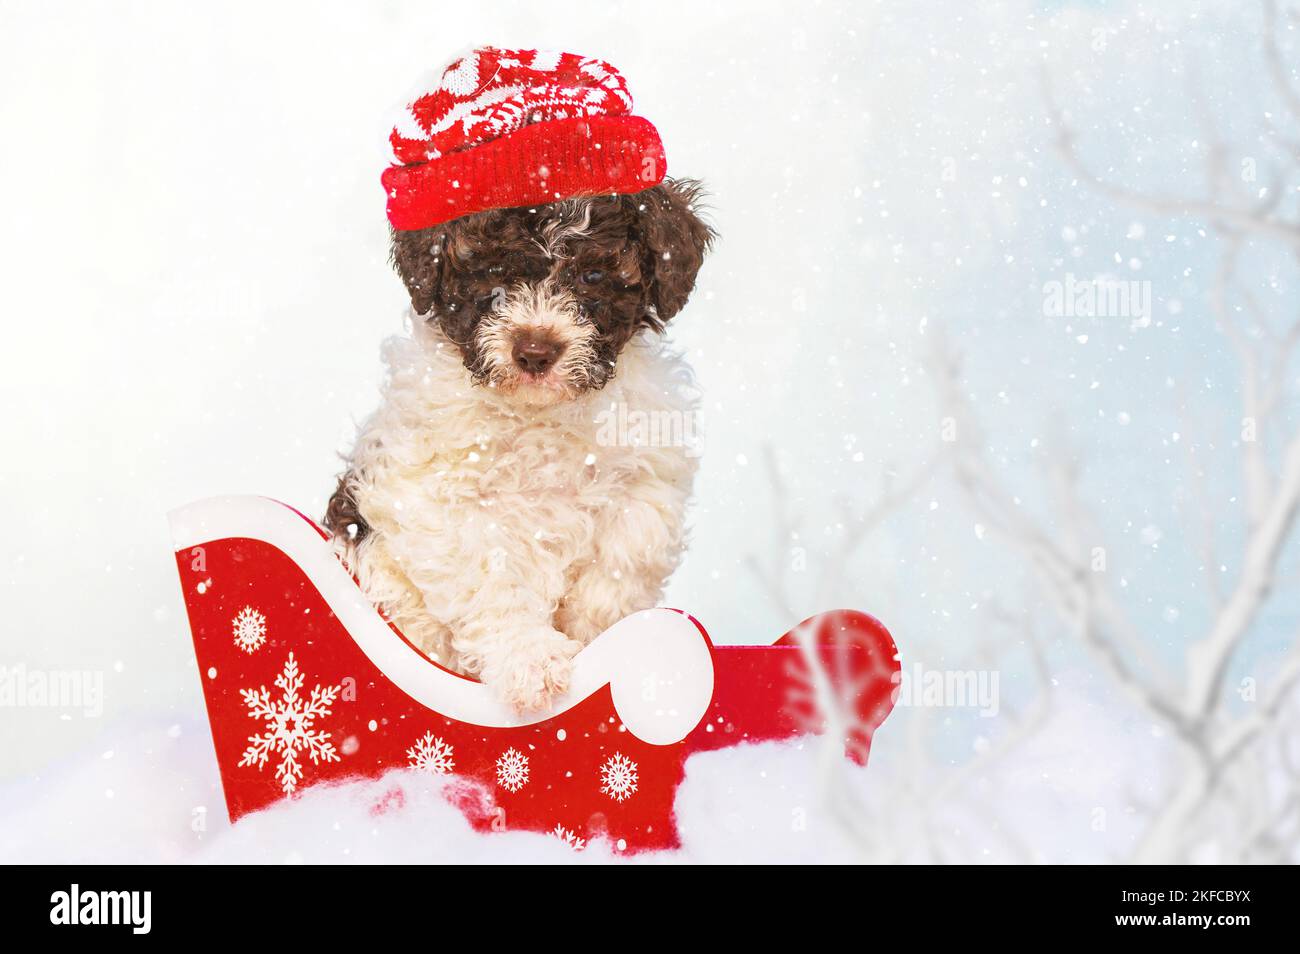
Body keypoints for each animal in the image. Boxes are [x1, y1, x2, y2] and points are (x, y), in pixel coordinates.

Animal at [322, 48, 712, 712]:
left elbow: (623, 559)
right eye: (492, 273)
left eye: (591, 276)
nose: (535, 350)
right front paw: (531, 663)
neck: (539, 417)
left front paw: (597, 639)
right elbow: (492, 577)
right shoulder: (438, 496)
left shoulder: (644, 479)